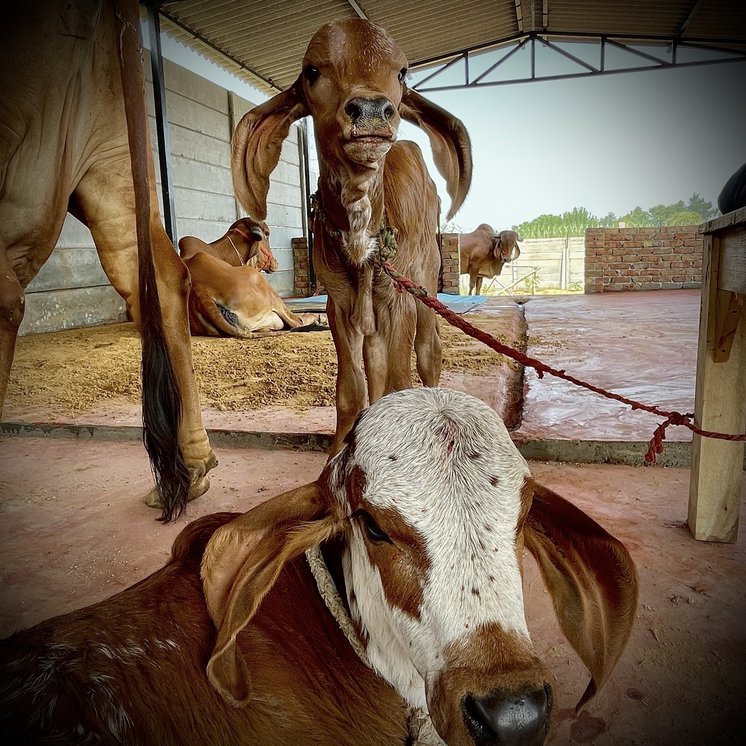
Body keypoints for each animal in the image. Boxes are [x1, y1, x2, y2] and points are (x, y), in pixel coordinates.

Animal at [231, 18, 473, 455]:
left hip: (425, 283)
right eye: (312, 71)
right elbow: (351, 387)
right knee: (375, 361)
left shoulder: (399, 298)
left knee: (429, 352)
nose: (373, 110)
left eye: (402, 73)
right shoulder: (338, 302)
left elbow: (400, 379)